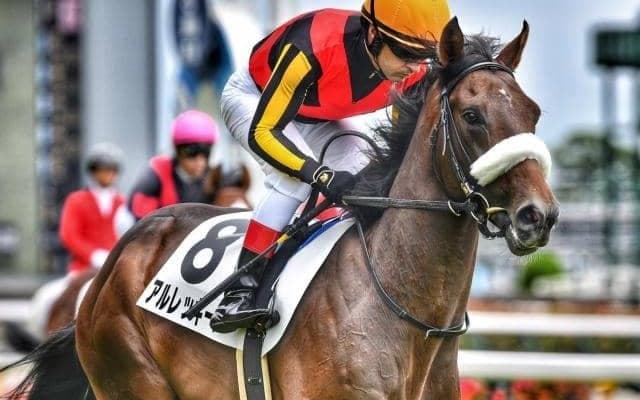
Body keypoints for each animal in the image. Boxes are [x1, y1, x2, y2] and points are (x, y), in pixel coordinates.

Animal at [2, 18, 558, 399]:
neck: (408, 315)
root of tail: (116, 262)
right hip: (133, 378)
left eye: (533, 112)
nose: (539, 215)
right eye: (472, 115)